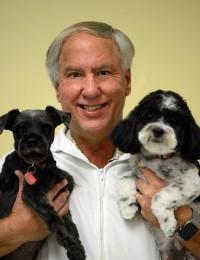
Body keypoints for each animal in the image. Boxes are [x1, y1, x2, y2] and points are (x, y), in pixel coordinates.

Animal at [0, 106, 85, 260]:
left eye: (46, 127)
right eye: (19, 128)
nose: (32, 141)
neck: (36, 165)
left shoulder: (63, 193)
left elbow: (70, 223)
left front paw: (77, 248)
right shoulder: (32, 192)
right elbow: (53, 216)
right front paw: (67, 241)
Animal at [111, 90, 199, 256]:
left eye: (174, 121)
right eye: (149, 116)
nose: (158, 130)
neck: (159, 157)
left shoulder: (194, 180)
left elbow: (160, 196)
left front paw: (168, 224)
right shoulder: (140, 174)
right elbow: (125, 178)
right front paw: (127, 207)